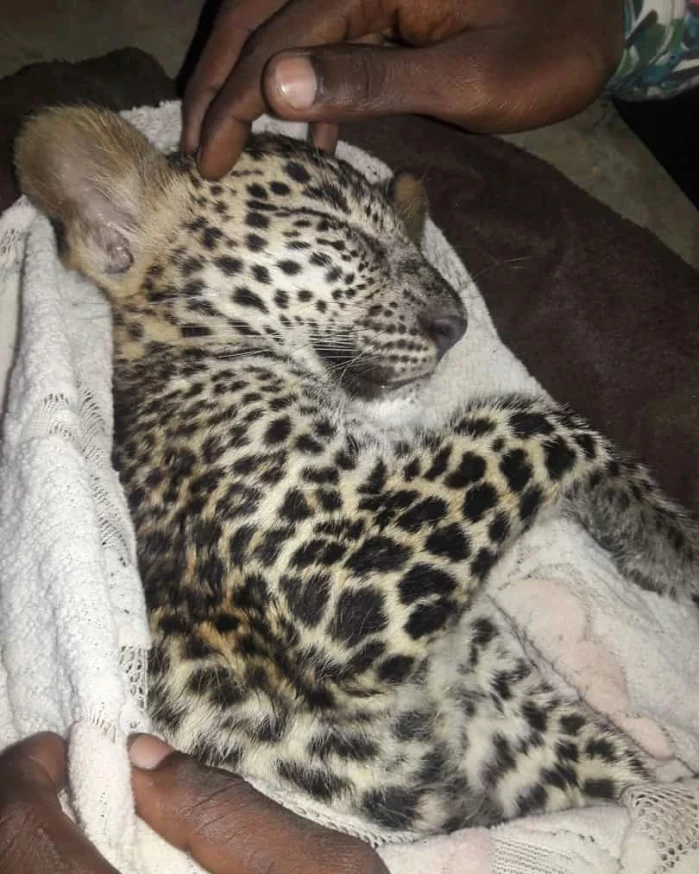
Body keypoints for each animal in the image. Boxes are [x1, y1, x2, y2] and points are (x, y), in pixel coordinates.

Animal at [16, 106, 699, 841]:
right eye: (340, 232)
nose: (455, 323)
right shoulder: (332, 584)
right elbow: (528, 423)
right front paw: (674, 543)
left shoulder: (495, 706)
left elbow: (611, 769)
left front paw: (652, 530)